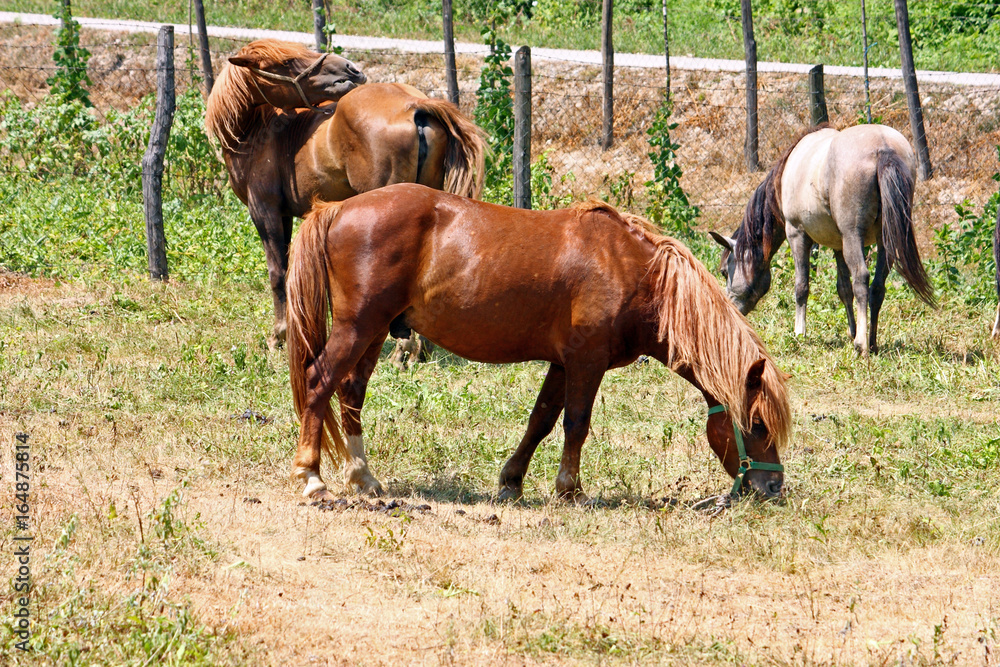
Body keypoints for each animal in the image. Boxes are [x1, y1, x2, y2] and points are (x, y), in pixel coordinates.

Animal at [205, 40, 486, 350]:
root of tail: (414, 105)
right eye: (287, 61)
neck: (255, 130)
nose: (350, 69)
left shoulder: (264, 211)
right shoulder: (283, 215)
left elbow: (277, 272)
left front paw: (279, 335)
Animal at [284, 185, 788, 504]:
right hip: (358, 327)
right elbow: (576, 424)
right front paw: (570, 489)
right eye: (757, 425)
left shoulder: (562, 363)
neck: (637, 274)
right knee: (319, 383)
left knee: (350, 394)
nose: (773, 489)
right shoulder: (586, 362)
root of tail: (337, 208)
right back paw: (311, 478)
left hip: (374, 332)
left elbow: (541, 420)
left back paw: (364, 478)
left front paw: (512, 481)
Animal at [716, 124, 932, 354]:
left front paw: (799, 332)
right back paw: (872, 341)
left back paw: (862, 345)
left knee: (862, 279)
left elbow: (801, 286)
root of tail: (884, 147)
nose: (729, 308)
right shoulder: (838, 246)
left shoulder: (798, 235)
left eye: (724, 272)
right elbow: (844, 289)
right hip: (884, 241)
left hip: (853, 237)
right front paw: (852, 330)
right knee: (877, 287)